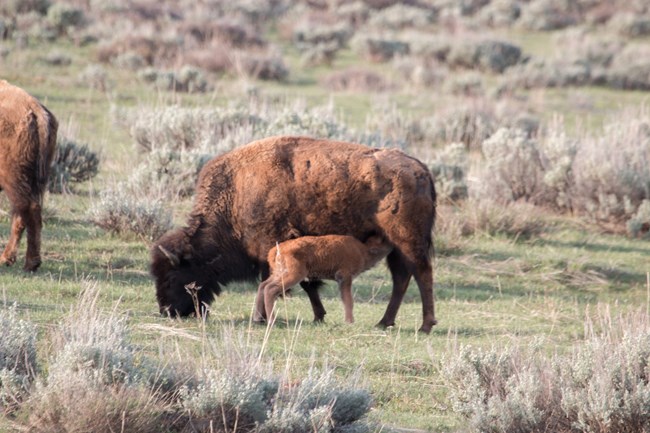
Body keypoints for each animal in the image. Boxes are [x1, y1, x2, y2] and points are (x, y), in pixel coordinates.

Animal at [258, 235, 390, 322]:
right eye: (383, 240)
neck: (362, 250)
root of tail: (275, 250)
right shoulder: (345, 277)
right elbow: (348, 300)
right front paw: (350, 321)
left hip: (278, 274)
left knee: (263, 285)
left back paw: (258, 317)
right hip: (293, 275)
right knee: (270, 289)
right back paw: (271, 321)